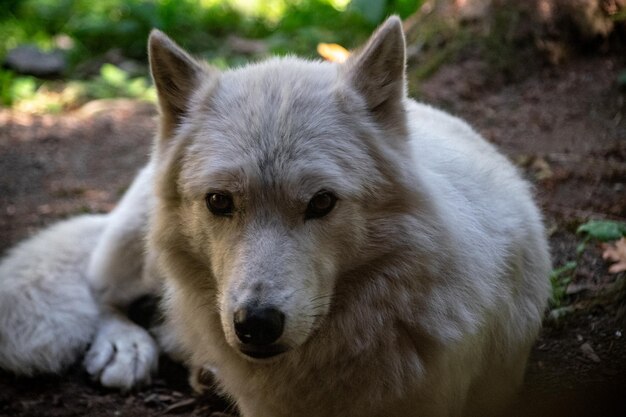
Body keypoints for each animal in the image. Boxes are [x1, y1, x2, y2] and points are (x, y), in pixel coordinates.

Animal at [0, 16, 544, 416]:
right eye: (219, 201)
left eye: (321, 202)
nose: (256, 324)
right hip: (138, 243)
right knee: (102, 290)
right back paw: (127, 349)